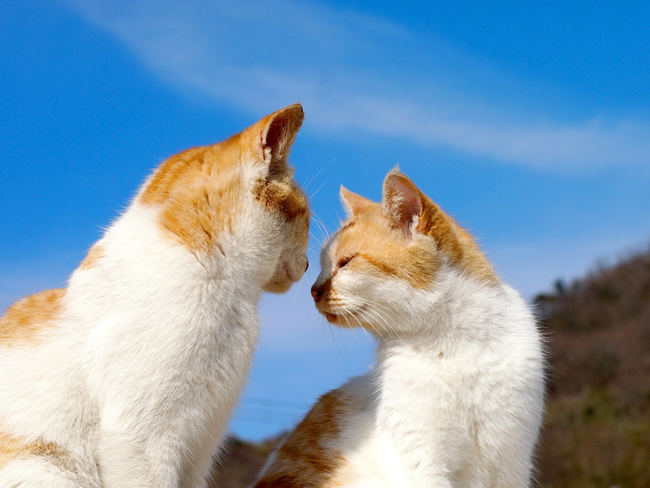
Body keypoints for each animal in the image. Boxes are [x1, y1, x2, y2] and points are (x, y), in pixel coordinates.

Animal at [251, 170, 544, 486]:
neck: (452, 341)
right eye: (320, 266)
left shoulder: (512, 464)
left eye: (345, 262)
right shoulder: (424, 459)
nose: (313, 291)